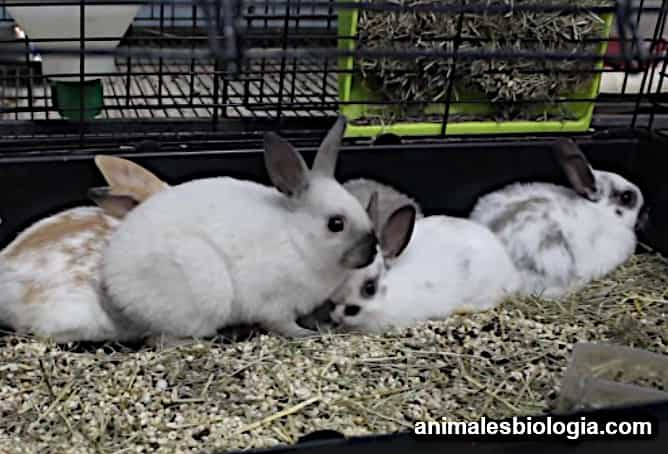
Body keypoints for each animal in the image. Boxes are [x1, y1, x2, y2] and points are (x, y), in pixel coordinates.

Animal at [101, 115, 378, 338]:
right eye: (336, 224)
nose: (372, 251)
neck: (298, 240)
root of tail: (115, 286)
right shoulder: (275, 304)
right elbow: (282, 324)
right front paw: (305, 334)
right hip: (204, 293)